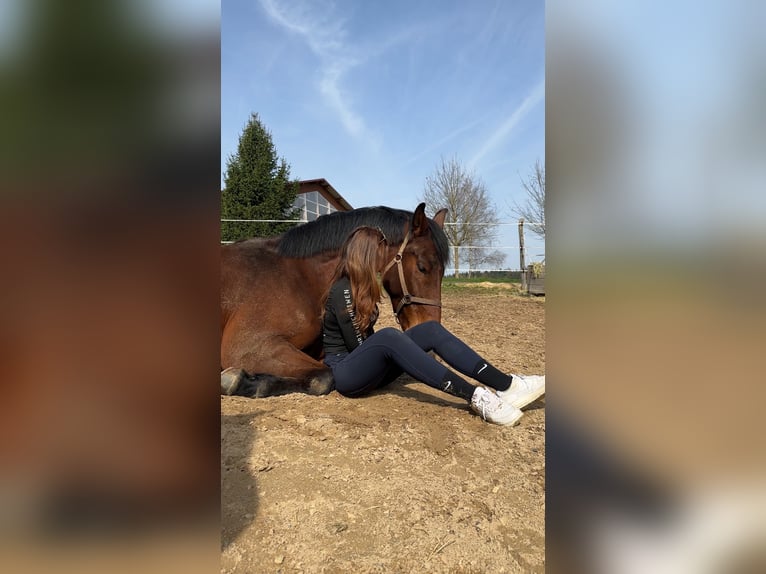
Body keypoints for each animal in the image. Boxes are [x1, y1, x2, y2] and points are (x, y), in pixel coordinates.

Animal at [221, 202, 449, 398]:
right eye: (422, 267)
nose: (431, 352)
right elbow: (325, 377)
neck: (299, 277)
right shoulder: (248, 346)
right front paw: (238, 381)